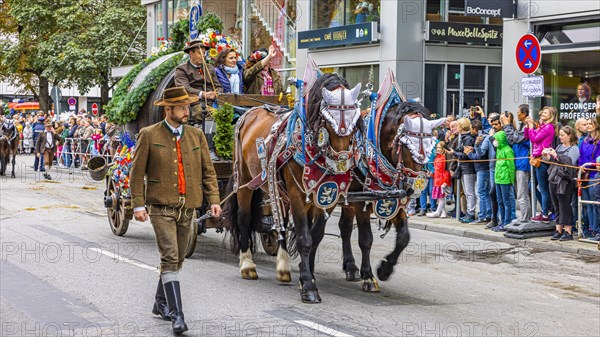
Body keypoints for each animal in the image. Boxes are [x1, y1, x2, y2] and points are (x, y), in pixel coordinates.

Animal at [225, 73, 364, 302]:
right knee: (244, 218)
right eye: (328, 120)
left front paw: (308, 275)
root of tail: (250, 112)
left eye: (356, 120)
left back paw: (283, 267)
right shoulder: (298, 195)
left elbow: (315, 236)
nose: (342, 163)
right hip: (244, 180)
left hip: (278, 190)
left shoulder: (325, 198)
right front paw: (308, 286)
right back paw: (247, 265)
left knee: (280, 222)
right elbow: (304, 238)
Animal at [338, 100, 446, 288]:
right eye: (406, 146)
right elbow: (366, 239)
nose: (416, 187)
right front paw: (368, 276)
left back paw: (350, 267)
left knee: (344, 227)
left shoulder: (397, 200)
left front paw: (385, 269)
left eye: (431, 146)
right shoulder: (361, 202)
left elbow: (404, 237)